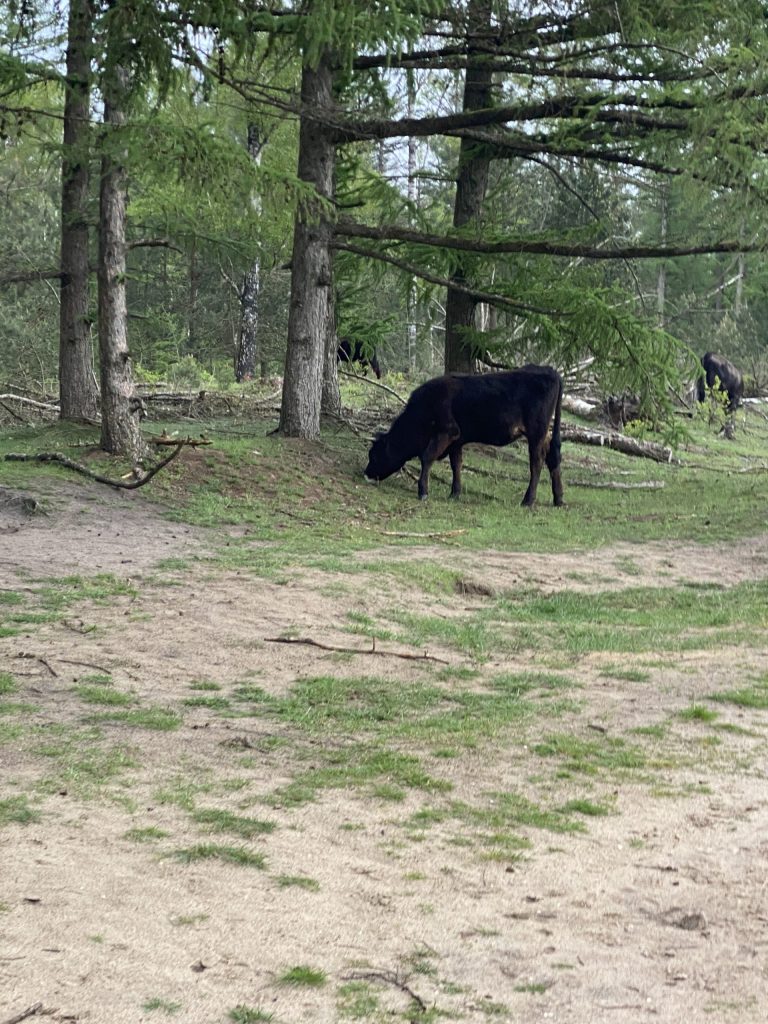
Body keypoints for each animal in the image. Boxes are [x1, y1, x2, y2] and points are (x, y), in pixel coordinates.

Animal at [364, 366, 561, 505]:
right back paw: (558, 499)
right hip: (545, 433)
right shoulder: (456, 440)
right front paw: (455, 493)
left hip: (536, 431)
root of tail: (548, 369)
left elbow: (427, 457)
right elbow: (456, 465)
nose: (366, 473)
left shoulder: (448, 431)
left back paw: (528, 500)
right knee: (552, 456)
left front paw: (423, 491)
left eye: (374, 455)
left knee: (537, 462)